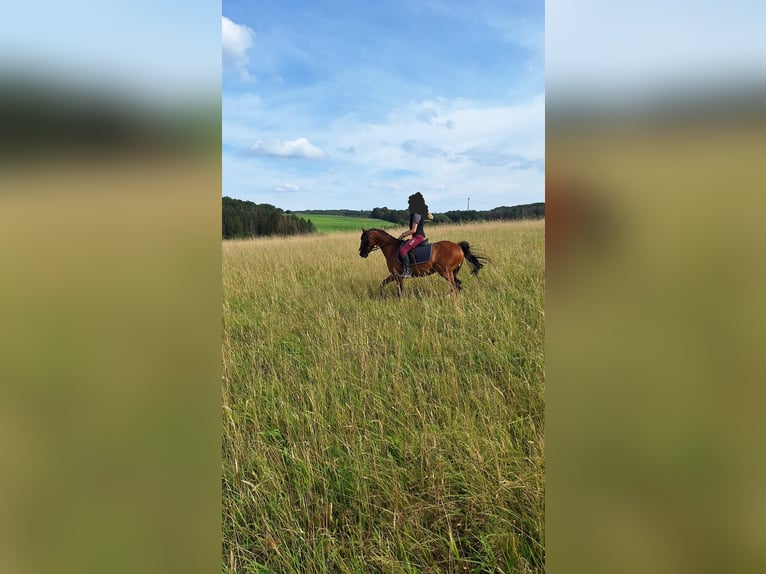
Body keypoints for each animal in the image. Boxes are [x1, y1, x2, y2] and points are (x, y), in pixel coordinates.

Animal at [358, 228, 487, 297]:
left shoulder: (398, 276)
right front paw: (381, 296)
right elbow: (382, 283)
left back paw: (449, 297)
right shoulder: (393, 274)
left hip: (445, 272)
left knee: (456, 284)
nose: (361, 253)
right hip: (452, 272)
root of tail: (458, 247)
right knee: (457, 285)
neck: (392, 248)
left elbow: (400, 291)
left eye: (365, 239)